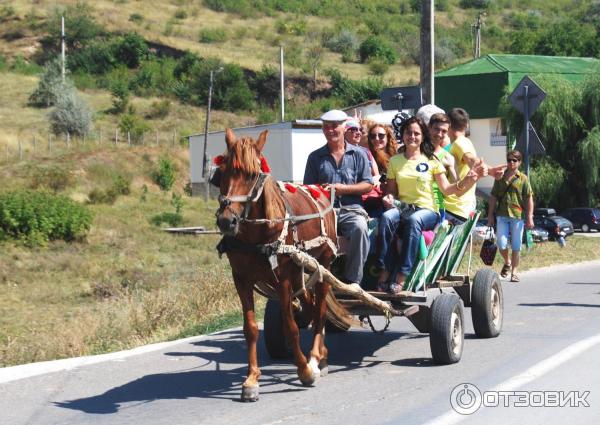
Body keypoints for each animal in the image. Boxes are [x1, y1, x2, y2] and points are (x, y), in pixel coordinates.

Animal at [214, 127, 338, 400]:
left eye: (252, 175)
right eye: (222, 172)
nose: (227, 221)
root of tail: (322, 192)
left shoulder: (282, 278)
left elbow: (290, 326)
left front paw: (304, 369)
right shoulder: (241, 278)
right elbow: (250, 328)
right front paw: (251, 379)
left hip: (324, 265)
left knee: (321, 310)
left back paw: (316, 357)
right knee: (311, 307)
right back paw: (322, 355)